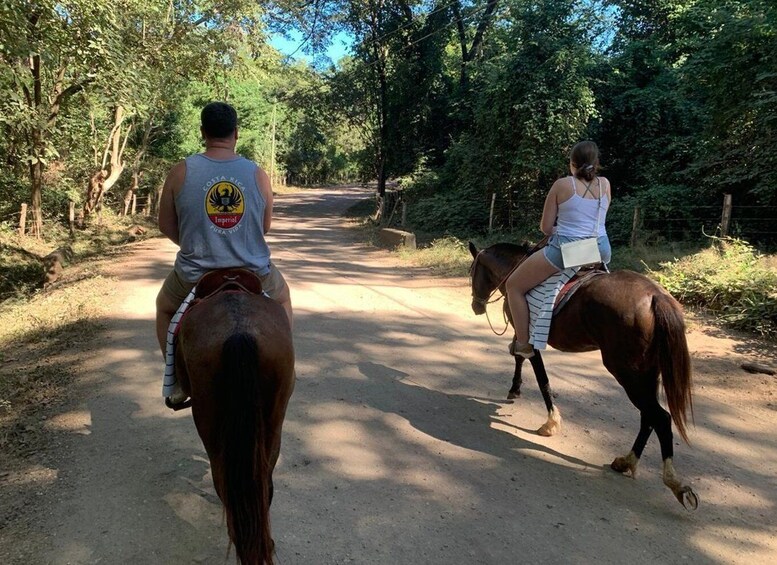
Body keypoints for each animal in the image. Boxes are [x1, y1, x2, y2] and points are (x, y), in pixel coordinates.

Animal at [470, 240, 700, 508]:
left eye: (472, 271)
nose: (476, 306)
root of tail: (655, 296)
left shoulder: (529, 337)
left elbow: (539, 375)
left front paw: (550, 421)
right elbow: (520, 358)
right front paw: (515, 390)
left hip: (628, 372)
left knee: (660, 417)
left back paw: (674, 483)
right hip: (647, 372)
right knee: (648, 417)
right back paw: (626, 461)